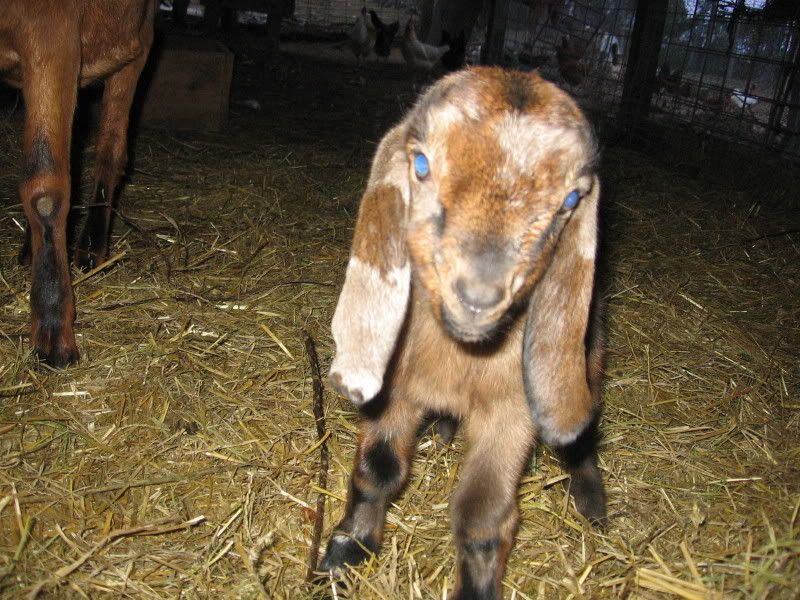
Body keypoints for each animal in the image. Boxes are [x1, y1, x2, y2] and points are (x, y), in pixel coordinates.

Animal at [0, 0, 156, 366]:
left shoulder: (51, 30)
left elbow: (46, 189)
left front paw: (53, 330)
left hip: (136, 46)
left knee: (110, 150)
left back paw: (91, 249)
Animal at [321, 67, 606, 599]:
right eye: (421, 163)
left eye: (571, 200)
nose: (478, 294)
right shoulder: (394, 387)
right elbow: (380, 468)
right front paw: (348, 549)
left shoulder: (511, 414)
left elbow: (482, 517)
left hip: (585, 362)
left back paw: (591, 500)